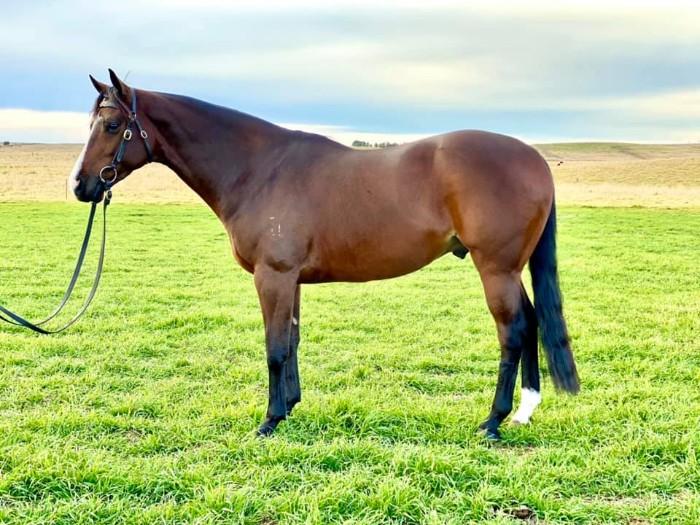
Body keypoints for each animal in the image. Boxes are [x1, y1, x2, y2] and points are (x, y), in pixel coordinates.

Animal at [71, 70, 579, 440]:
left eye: (112, 126)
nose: (79, 186)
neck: (258, 169)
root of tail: (534, 158)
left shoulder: (272, 276)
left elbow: (275, 347)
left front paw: (269, 421)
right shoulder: (290, 279)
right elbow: (292, 341)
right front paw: (289, 407)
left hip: (495, 268)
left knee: (513, 332)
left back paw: (492, 422)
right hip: (510, 270)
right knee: (532, 321)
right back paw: (524, 411)